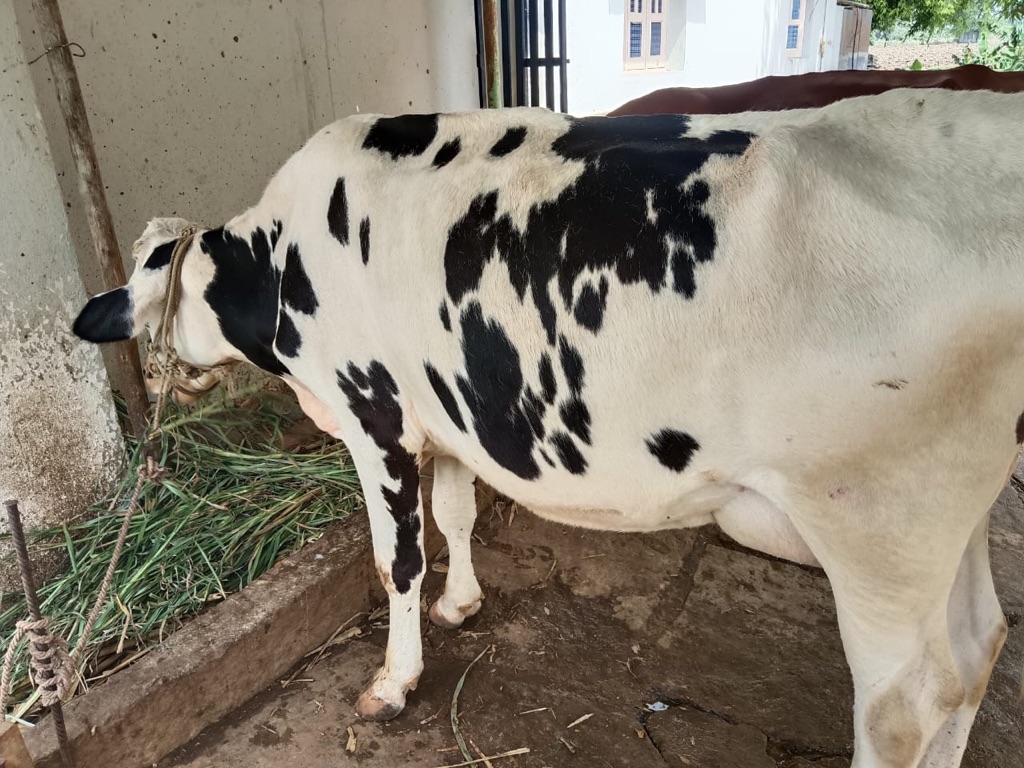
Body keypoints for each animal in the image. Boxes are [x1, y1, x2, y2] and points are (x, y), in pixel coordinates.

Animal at [72, 88, 1024, 768]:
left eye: (148, 284)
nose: (162, 386)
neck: (281, 254)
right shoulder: (452, 409)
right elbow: (456, 512)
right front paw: (461, 603)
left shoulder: (374, 411)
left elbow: (396, 559)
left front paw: (394, 680)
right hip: (952, 512)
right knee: (979, 644)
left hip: (876, 516)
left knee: (906, 704)